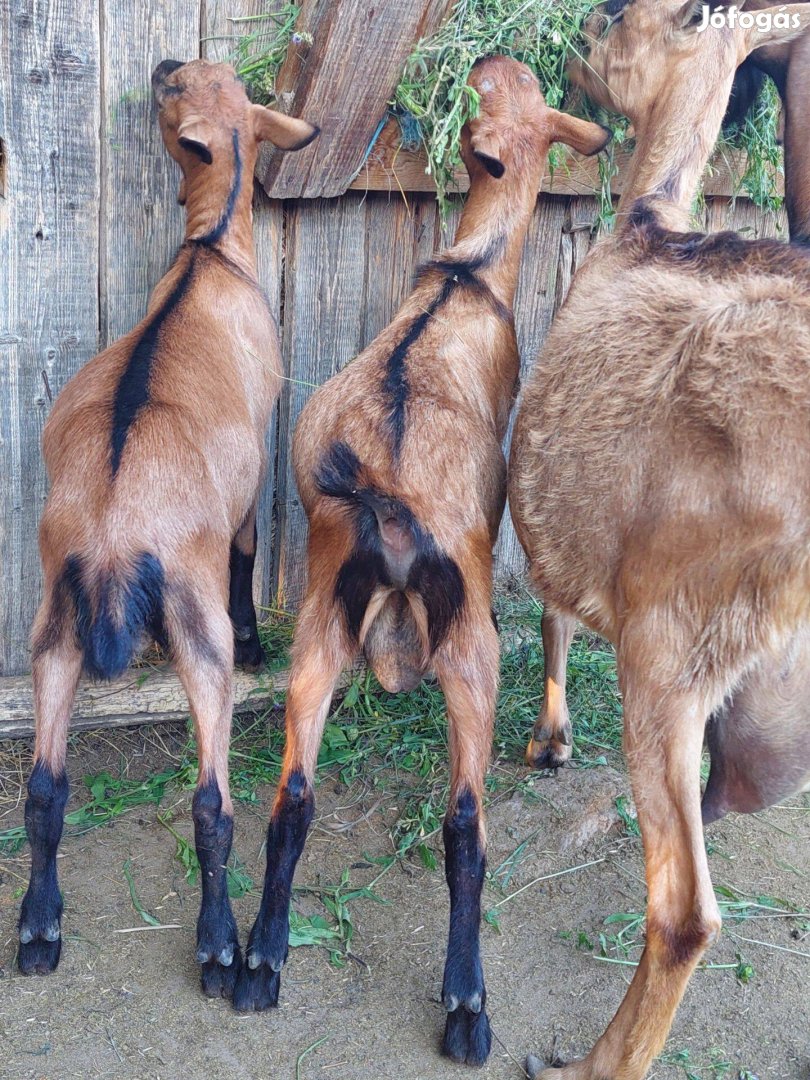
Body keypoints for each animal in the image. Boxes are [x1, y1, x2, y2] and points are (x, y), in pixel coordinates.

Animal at [17, 61, 319, 993]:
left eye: (190, 79)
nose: (156, 68)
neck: (210, 251)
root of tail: (117, 532)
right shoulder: (256, 460)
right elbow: (249, 547)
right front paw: (260, 640)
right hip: (193, 621)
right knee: (211, 799)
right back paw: (220, 946)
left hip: (55, 621)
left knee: (45, 787)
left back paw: (38, 930)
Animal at [228, 52, 609, 1062]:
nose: (489, 57)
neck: (466, 273)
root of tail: (387, 505)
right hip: (470, 645)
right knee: (464, 822)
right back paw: (467, 1004)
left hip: (319, 628)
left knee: (292, 795)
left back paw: (261, 960)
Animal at [509, 4, 810, 1075]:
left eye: (614, 18)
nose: (573, 60)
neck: (649, 222)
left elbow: (549, 612)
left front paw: (549, 741)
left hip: (673, 646)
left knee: (684, 909)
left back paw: (591, 1060)